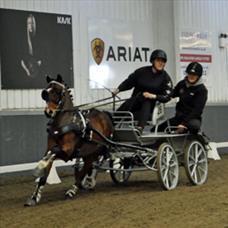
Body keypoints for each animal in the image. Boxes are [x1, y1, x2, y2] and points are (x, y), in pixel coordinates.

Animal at [24, 75, 113, 207]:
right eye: (45, 93)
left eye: (57, 91)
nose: (49, 112)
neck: (63, 123)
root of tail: (105, 114)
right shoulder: (49, 149)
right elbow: (45, 171)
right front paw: (34, 197)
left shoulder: (67, 151)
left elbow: (53, 152)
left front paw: (39, 167)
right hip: (89, 153)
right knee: (88, 168)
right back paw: (87, 182)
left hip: (95, 151)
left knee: (85, 169)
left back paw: (73, 189)